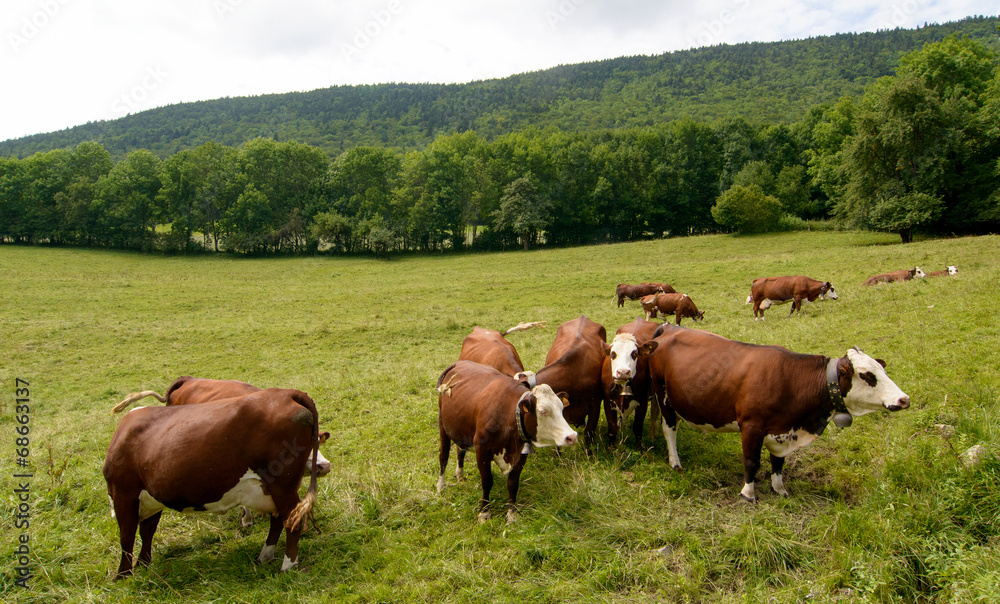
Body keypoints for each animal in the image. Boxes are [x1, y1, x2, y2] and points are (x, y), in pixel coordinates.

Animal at [101, 390, 322, 580]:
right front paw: (143, 565)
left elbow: (126, 537)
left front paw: (122, 575)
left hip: (282, 486)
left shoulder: (123, 493)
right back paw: (265, 556)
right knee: (278, 520)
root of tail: (287, 393)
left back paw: (288, 565)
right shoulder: (151, 498)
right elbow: (147, 533)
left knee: (292, 520)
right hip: (272, 488)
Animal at [438, 360, 580, 520]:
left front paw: (512, 514)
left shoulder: (521, 452)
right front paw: (484, 511)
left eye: (561, 408)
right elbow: (487, 481)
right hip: (443, 426)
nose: (572, 436)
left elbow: (513, 483)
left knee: (460, 450)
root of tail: (460, 362)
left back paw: (459, 474)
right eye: (543, 411)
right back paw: (440, 486)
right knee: (443, 456)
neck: (507, 414)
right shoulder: (482, 449)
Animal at [600, 318, 664, 446]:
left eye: (634, 354)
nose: (623, 372)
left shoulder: (642, 402)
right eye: (613, 354)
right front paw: (611, 447)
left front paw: (640, 447)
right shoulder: (608, 401)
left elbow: (637, 427)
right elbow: (612, 429)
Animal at [644, 328, 912, 502]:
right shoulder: (751, 425)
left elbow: (779, 462)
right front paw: (748, 493)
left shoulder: (782, 428)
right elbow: (752, 461)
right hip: (662, 394)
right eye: (867, 375)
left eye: (882, 370)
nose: (904, 399)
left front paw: (779, 488)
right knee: (670, 428)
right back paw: (675, 462)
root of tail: (669, 329)